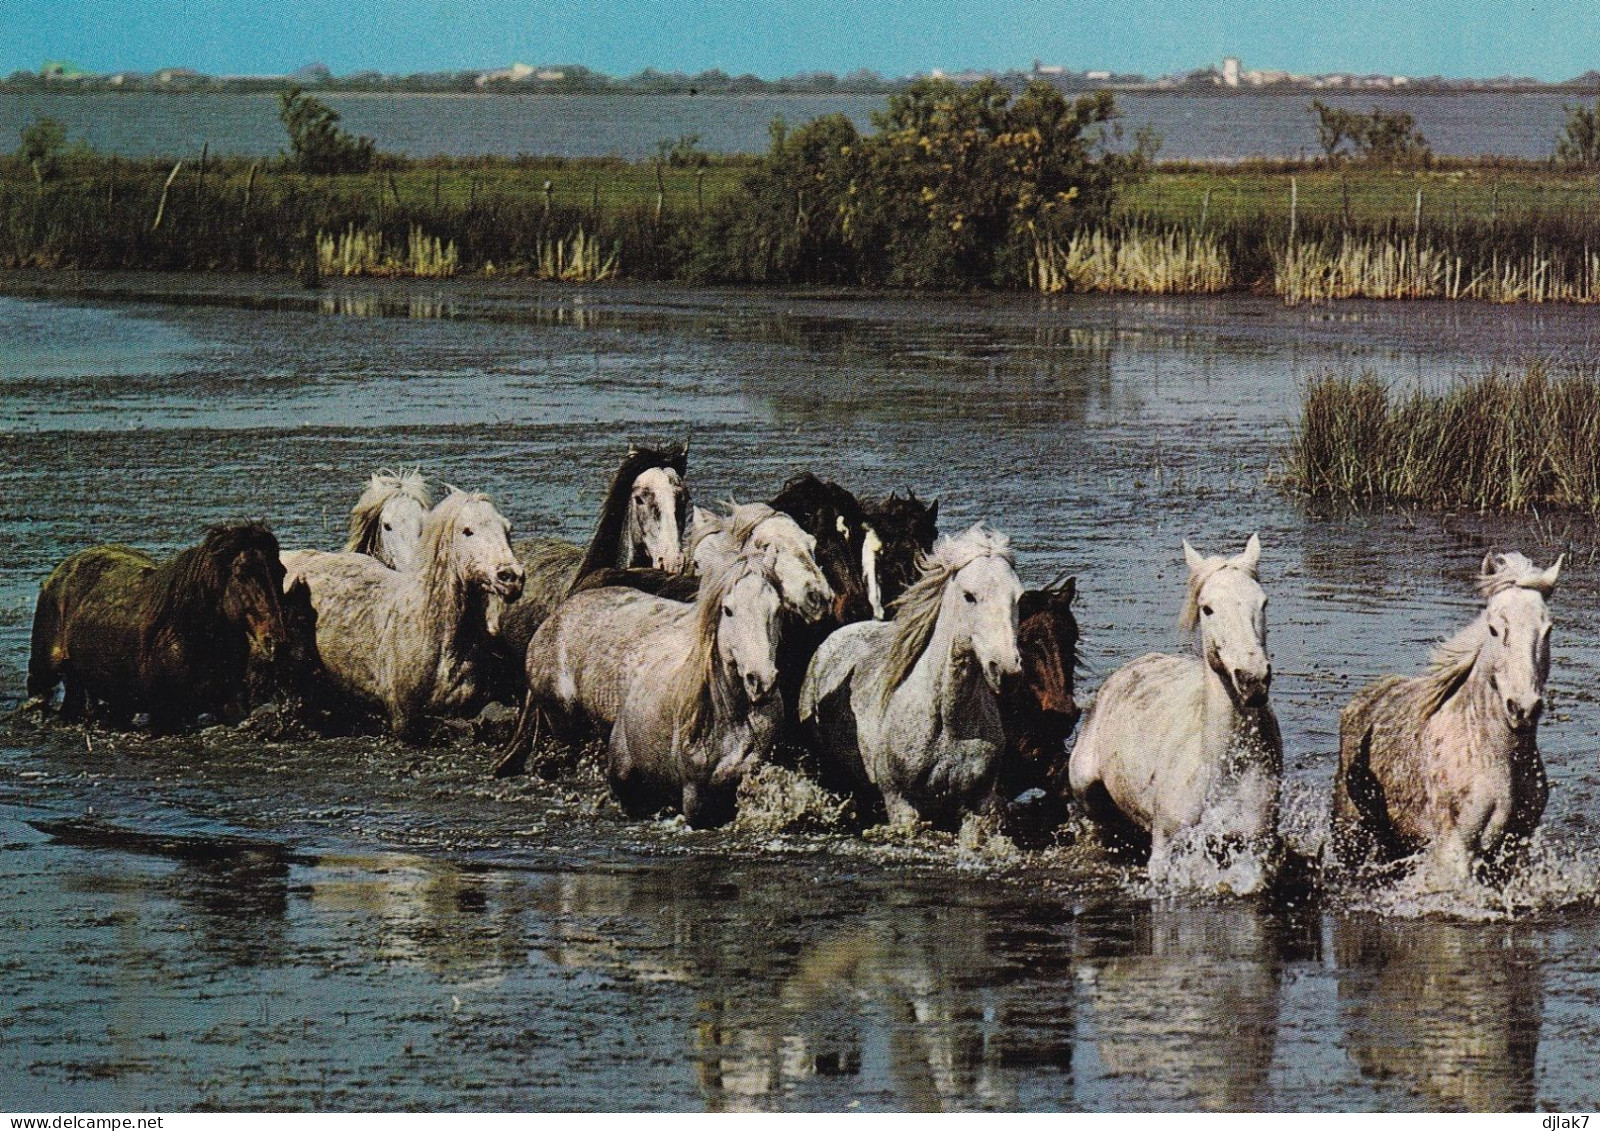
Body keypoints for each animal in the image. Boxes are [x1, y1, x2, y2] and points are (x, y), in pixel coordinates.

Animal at [515, 553, 784, 825]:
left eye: (777, 609)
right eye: (728, 610)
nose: (760, 680)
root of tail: (554, 618)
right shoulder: (695, 795)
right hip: (566, 727)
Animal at [800, 527, 1024, 825]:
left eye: (1018, 597)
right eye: (969, 596)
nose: (1007, 670)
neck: (948, 723)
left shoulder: (980, 803)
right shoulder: (901, 804)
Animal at [1068, 534, 1280, 895]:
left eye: (1264, 603)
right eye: (1208, 608)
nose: (1253, 680)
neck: (1222, 770)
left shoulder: (1254, 852)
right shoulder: (1166, 850)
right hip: (1083, 786)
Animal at [1324, 553, 1561, 889]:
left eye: (1547, 630)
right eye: (1493, 629)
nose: (1523, 708)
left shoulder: (1513, 849)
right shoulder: (1456, 847)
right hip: (1351, 833)